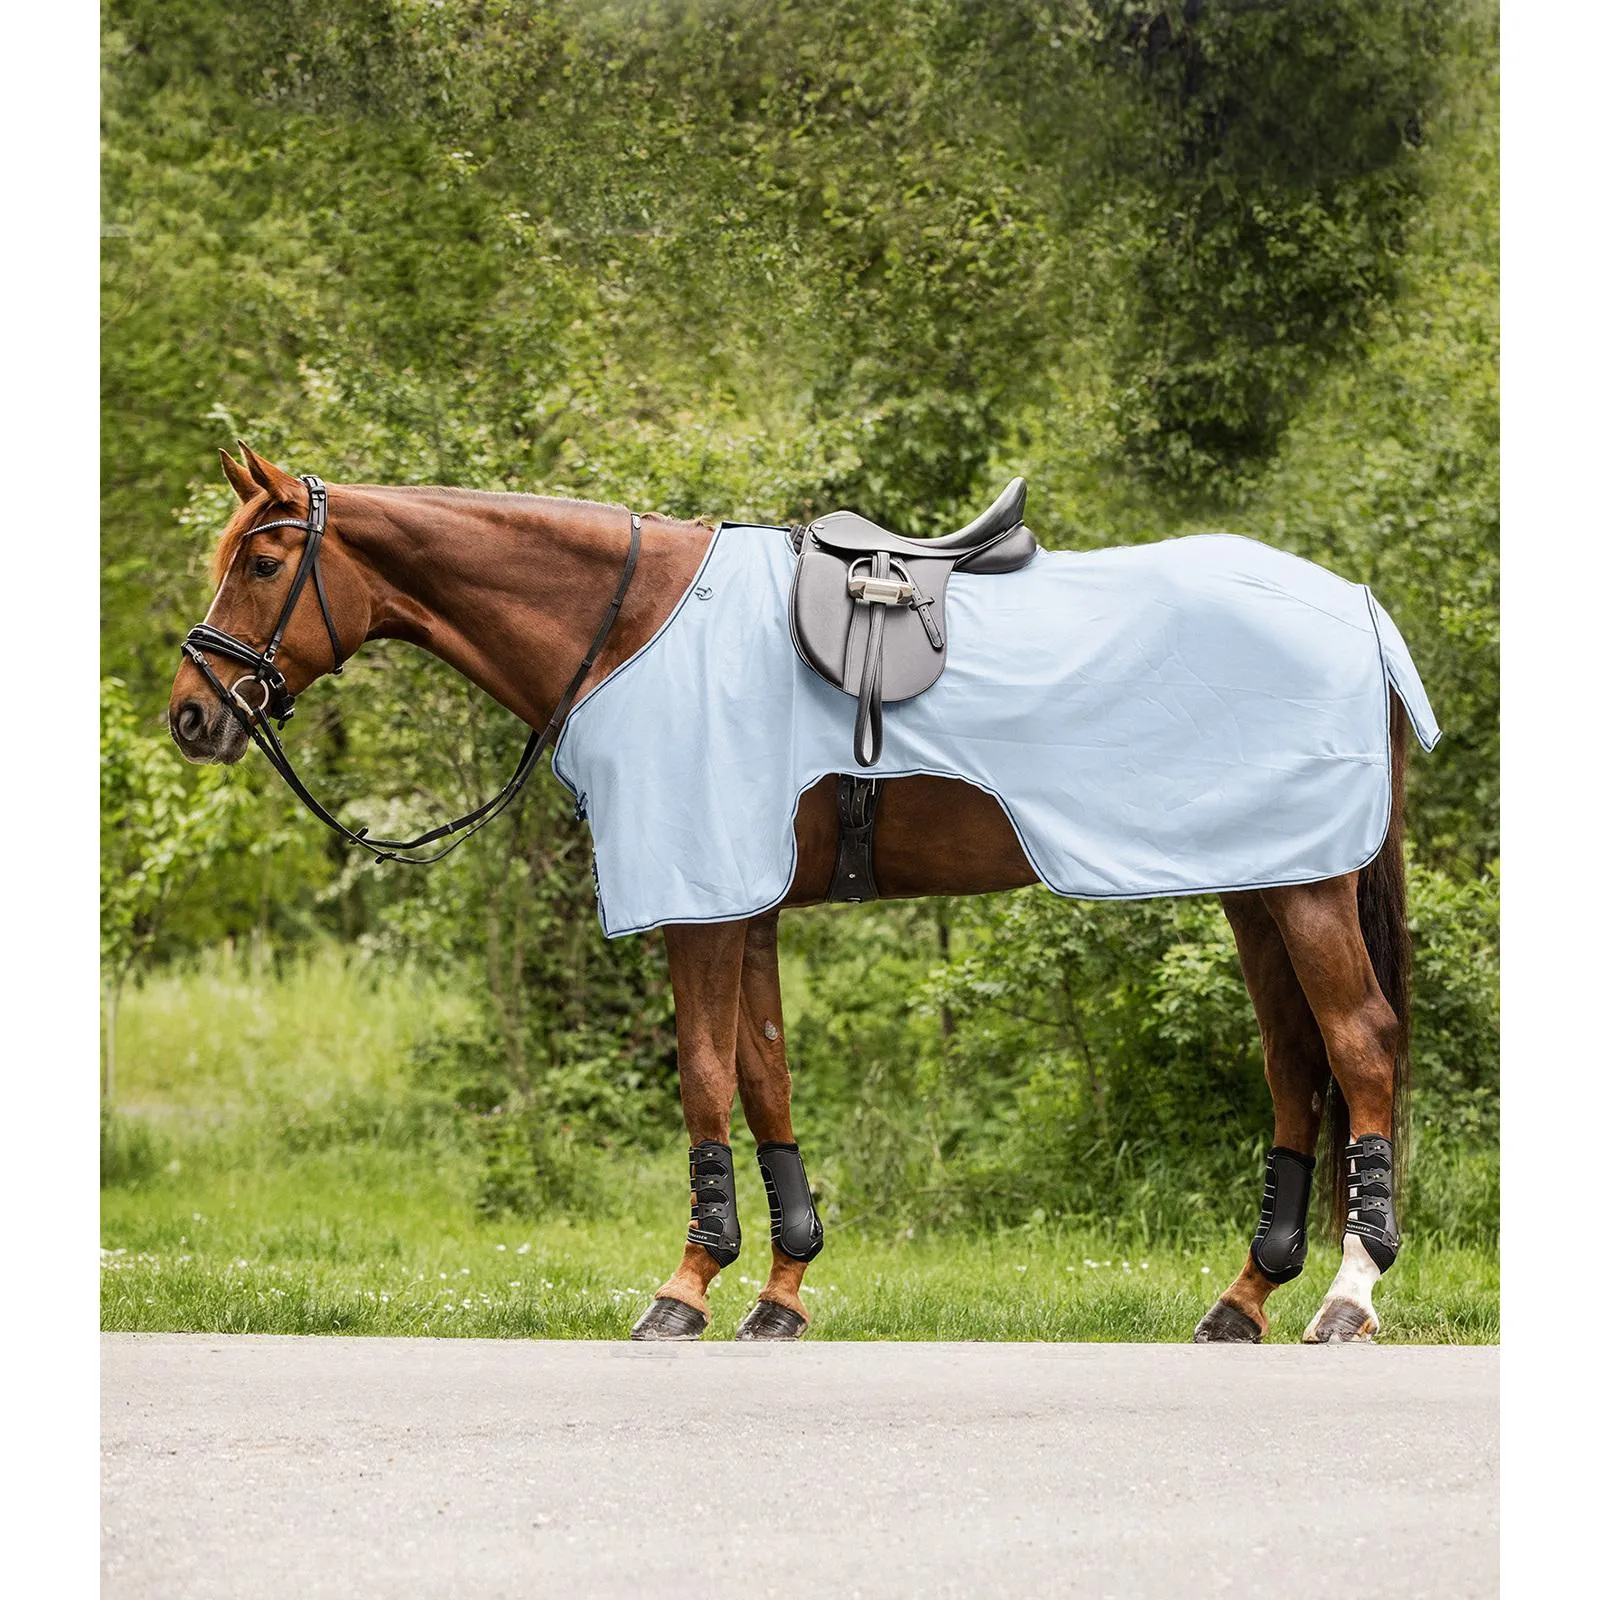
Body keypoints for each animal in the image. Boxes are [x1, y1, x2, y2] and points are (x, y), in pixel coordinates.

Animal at [169, 443, 1419, 1346]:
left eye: (264, 565)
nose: (191, 714)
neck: (632, 626)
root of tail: (1357, 606)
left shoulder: (698, 901)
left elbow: (703, 1077)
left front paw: (685, 1285)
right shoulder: (744, 903)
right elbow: (764, 1075)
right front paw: (781, 1289)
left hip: (1306, 889)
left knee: (1359, 1046)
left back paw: (1347, 1297)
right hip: (1259, 887)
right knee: (1294, 1062)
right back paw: (1243, 1299)